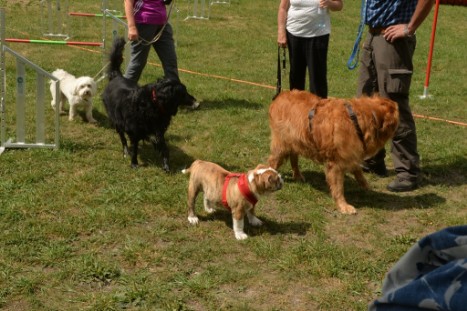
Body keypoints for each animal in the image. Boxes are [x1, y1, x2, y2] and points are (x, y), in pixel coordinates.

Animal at [102, 38, 197, 173]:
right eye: (183, 93)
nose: (194, 100)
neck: (153, 104)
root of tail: (117, 76)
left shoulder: (158, 130)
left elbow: (163, 147)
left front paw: (166, 165)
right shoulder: (134, 131)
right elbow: (135, 148)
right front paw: (134, 163)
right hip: (116, 121)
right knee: (122, 138)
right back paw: (126, 151)